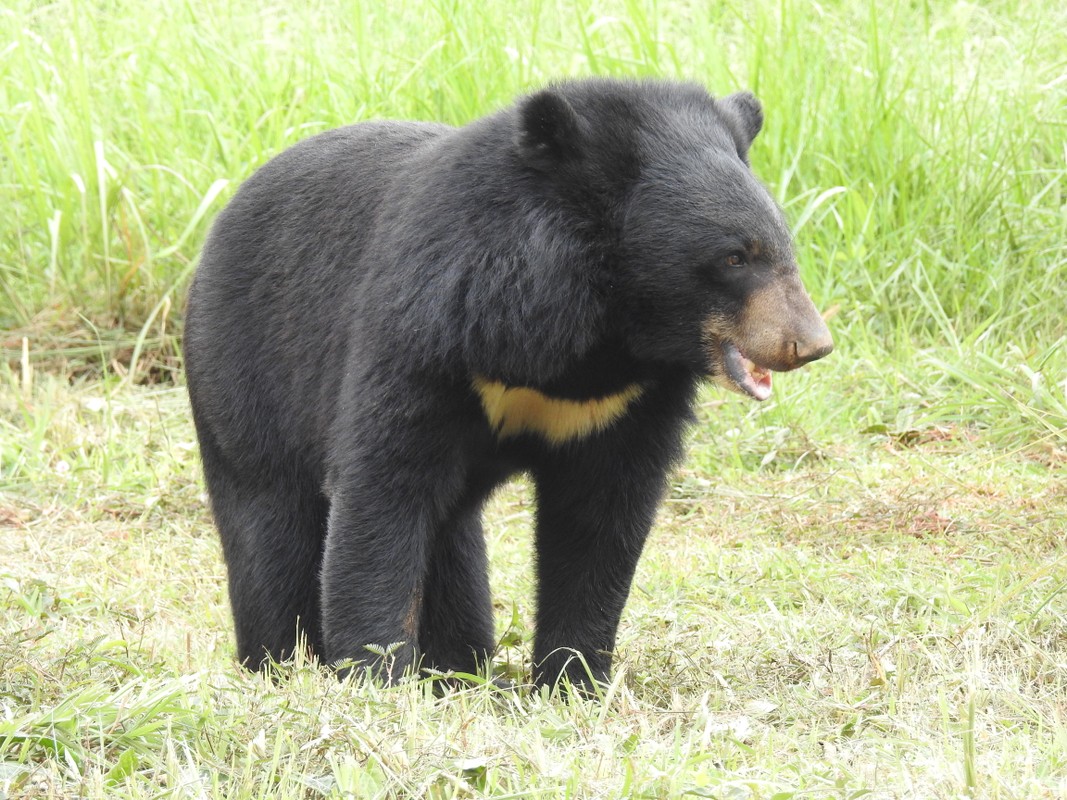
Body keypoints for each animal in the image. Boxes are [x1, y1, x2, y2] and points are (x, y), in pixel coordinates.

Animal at [183, 80, 832, 695]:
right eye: (734, 257)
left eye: (784, 249)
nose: (811, 343)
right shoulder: (430, 329)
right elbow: (383, 487)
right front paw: (374, 677)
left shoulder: (627, 402)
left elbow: (600, 518)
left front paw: (573, 682)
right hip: (246, 375)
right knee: (271, 524)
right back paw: (279, 661)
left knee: (453, 542)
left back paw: (459, 668)